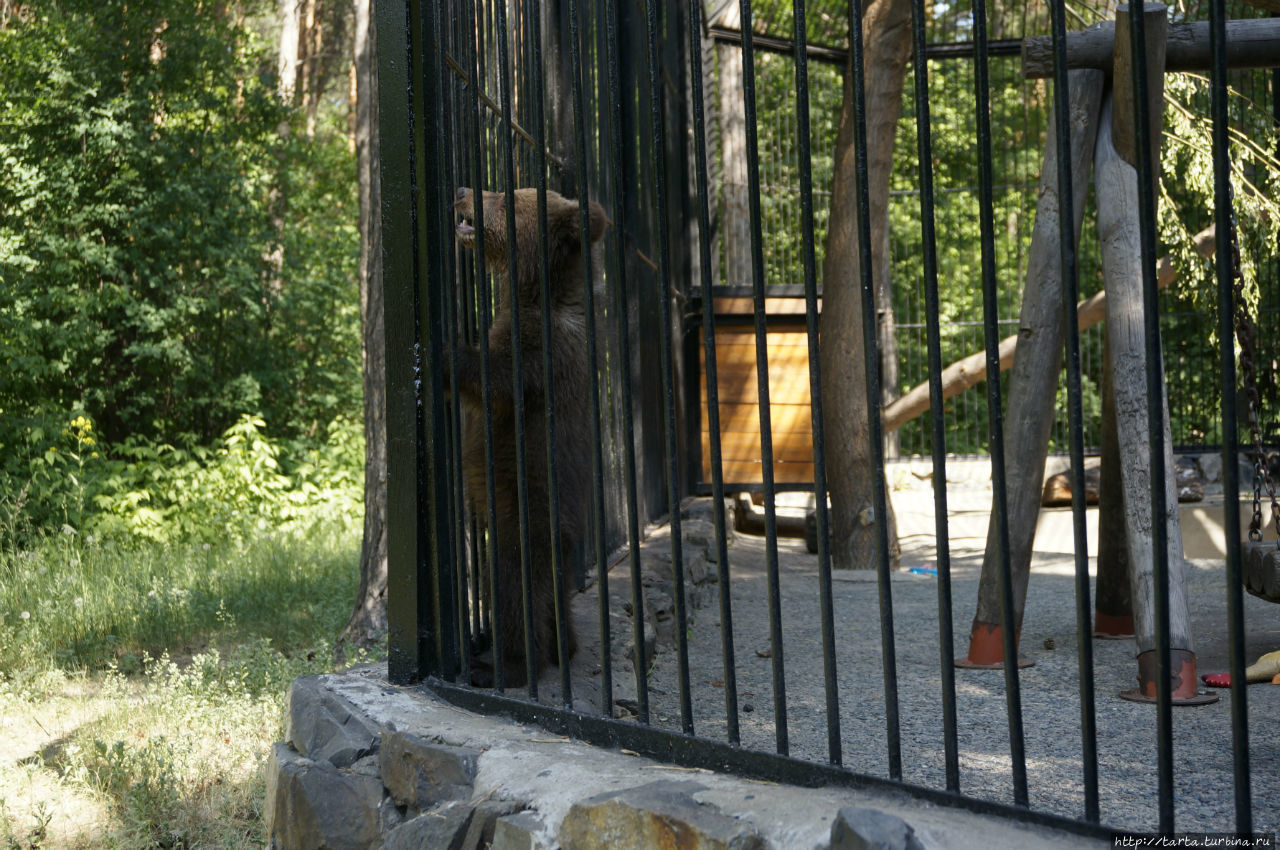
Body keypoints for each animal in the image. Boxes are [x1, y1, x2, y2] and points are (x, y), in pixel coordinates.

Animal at [453, 188, 606, 691]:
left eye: (505, 198)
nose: (462, 191)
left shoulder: (543, 353)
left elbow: (495, 381)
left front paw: (449, 346)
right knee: (550, 596)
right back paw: (565, 644)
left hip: (528, 516)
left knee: (514, 590)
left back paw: (509, 664)